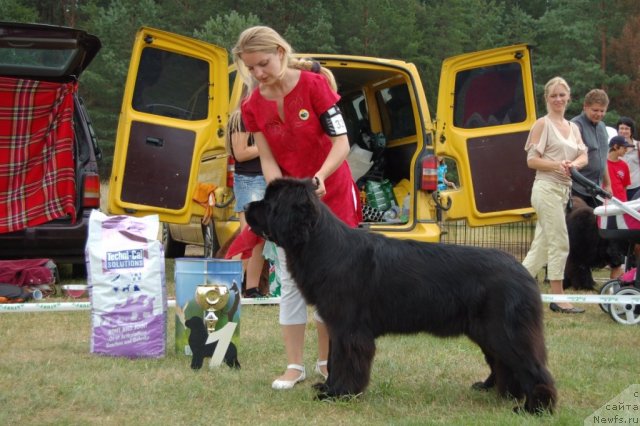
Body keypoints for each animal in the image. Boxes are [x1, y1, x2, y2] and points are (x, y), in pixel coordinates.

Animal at [248, 178, 556, 414]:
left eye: (270, 202)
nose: (247, 206)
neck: (321, 246)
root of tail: (524, 272)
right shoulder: (336, 326)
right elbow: (334, 359)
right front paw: (327, 387)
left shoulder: (350, 328)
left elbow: (346, 360)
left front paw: (339, 393)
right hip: (488, 332)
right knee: (504, 363)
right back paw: (497, 390)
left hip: (505, 330)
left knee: (532, 366)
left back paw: (535, 408)